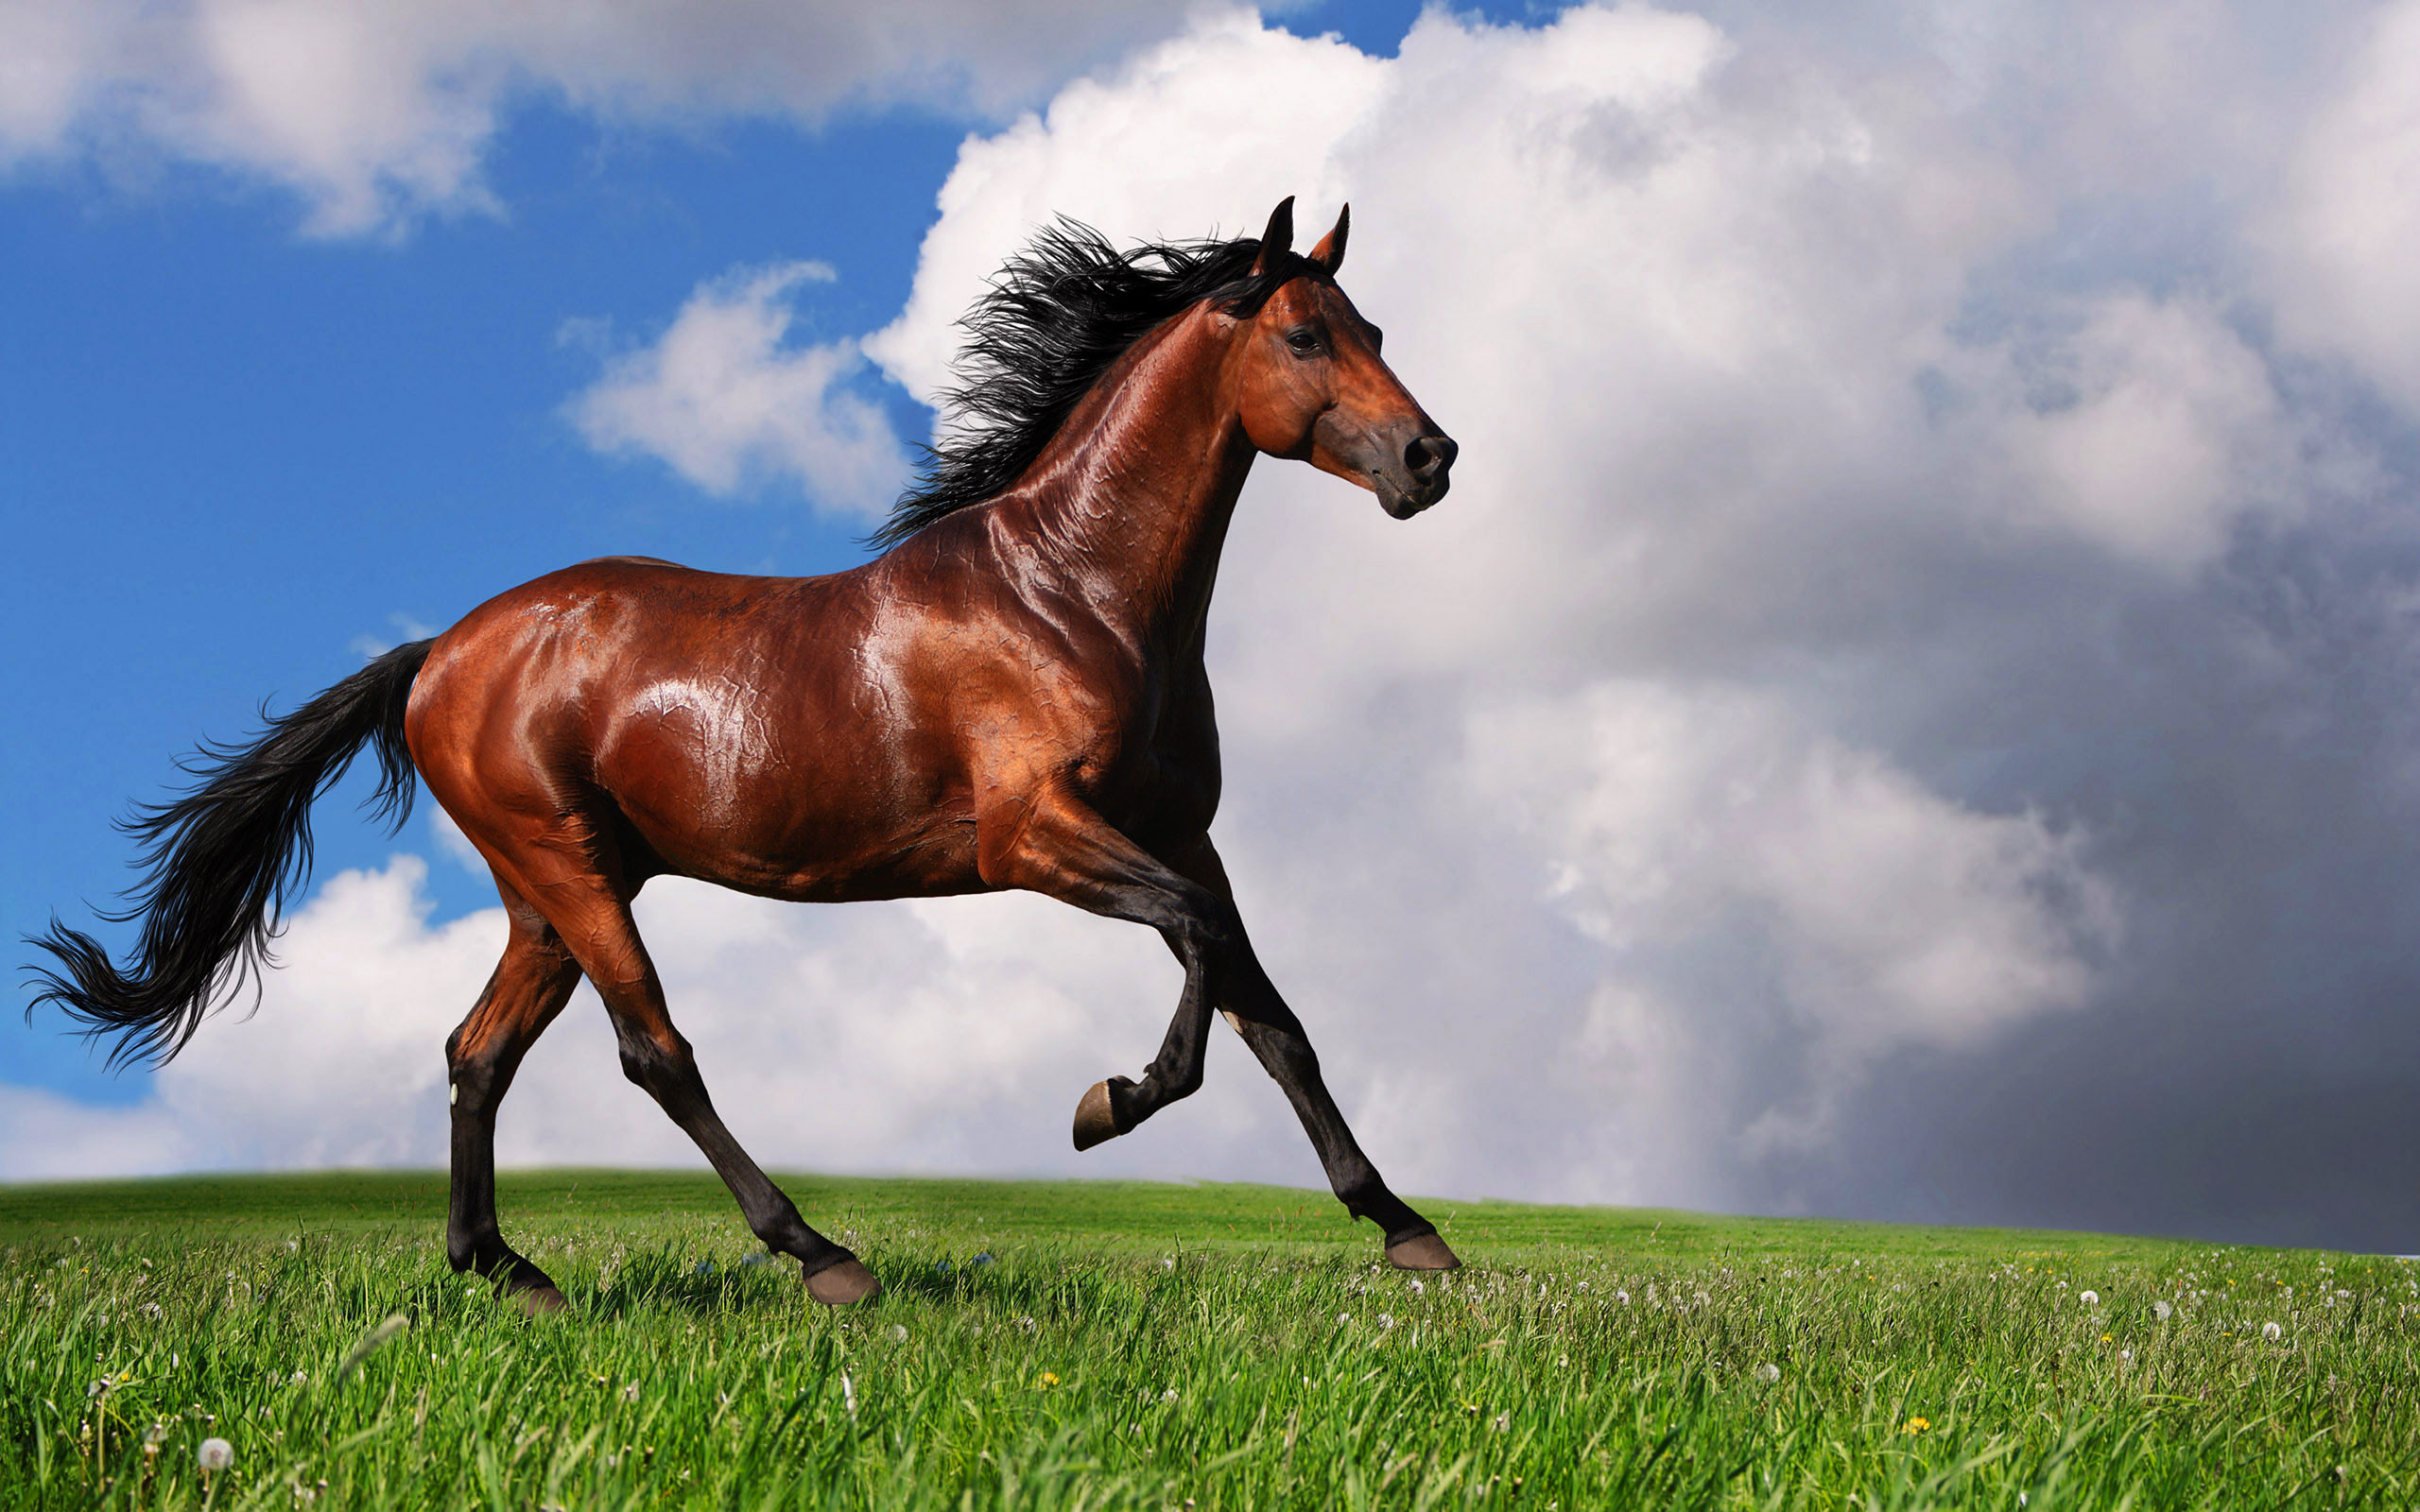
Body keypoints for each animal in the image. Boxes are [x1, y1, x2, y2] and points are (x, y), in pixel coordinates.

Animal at [29, 197, 1462, 1311]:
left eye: (1377, 332)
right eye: (1304, 333)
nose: (1430, 456)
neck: (1074, 593)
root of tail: (439, 652)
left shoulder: (1181, 833)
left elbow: (1271, 1014)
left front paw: (1407, 1230)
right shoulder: (1036, 836)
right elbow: (1204, 964)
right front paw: (1106, 1103)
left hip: (548, 892)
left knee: (477, 1052)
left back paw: (511, 1272)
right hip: (567, 868)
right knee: (652, 1048)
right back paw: (821, 1256)